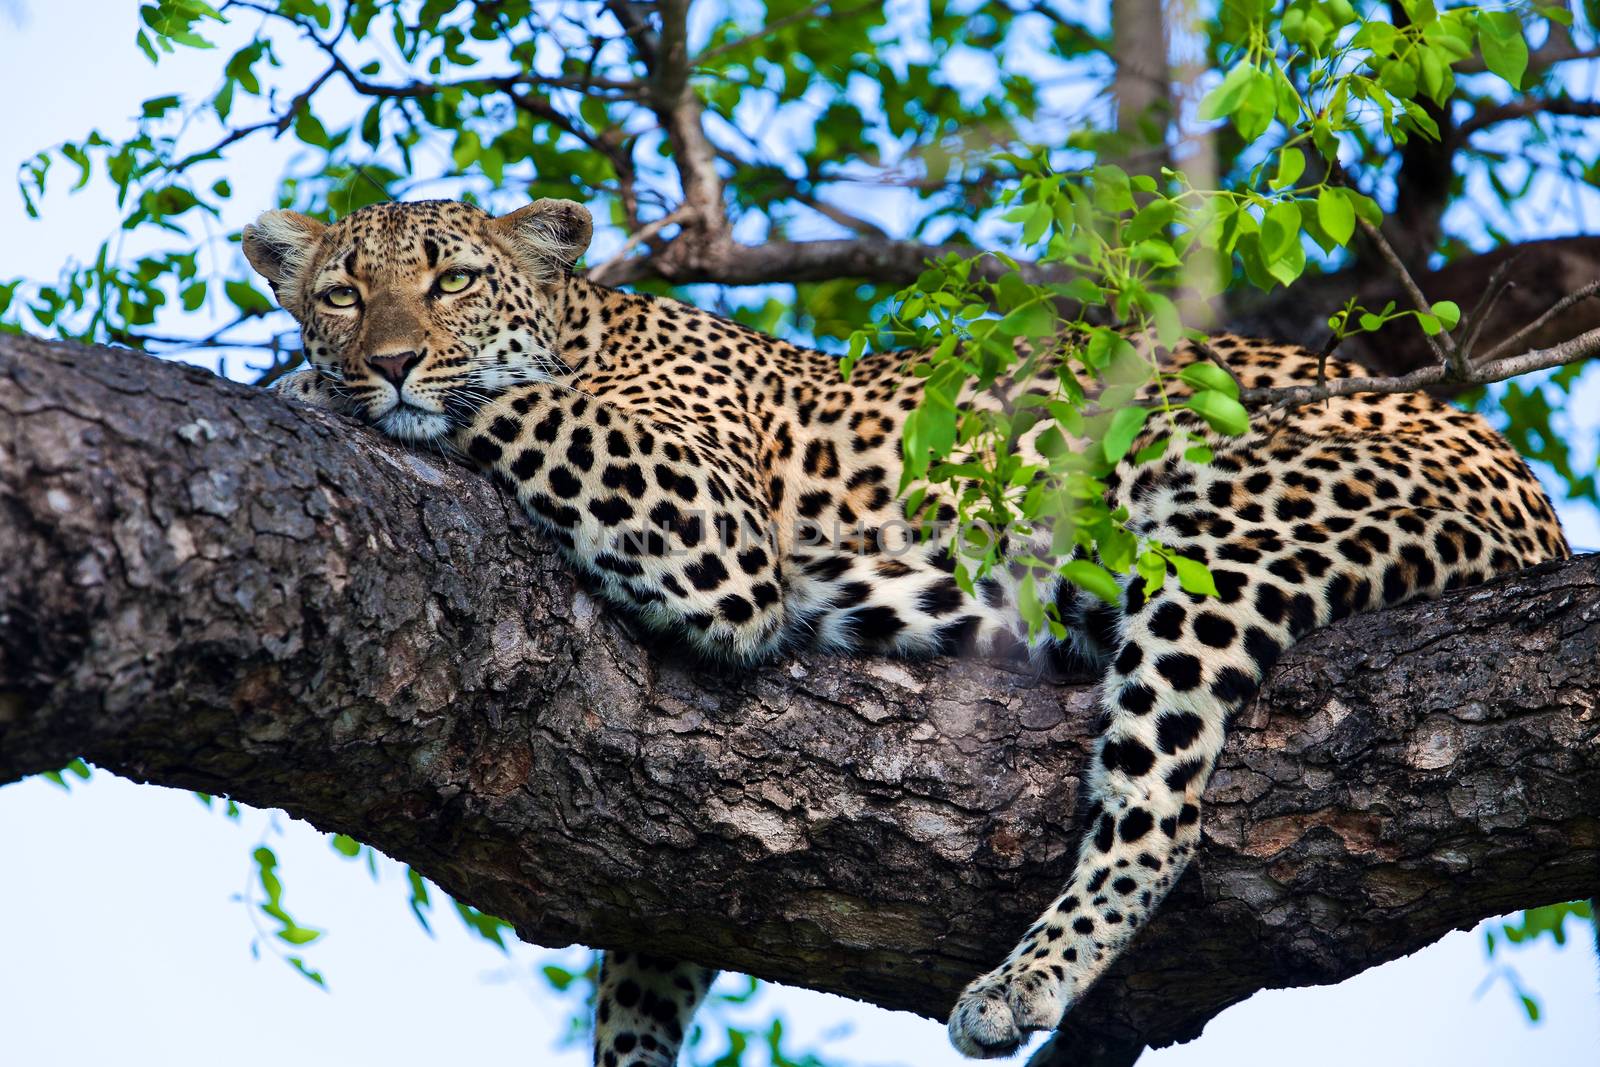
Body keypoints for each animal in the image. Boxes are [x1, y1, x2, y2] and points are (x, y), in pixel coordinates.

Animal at [243, 195, 1568, 1062]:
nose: (389, 358)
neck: (594, 328)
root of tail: (1533, 495)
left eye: (453, 281)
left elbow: (514, 405)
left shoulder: (708, 523)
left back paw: (1022, 982)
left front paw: (306, 388)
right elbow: (642, 968)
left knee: (1162, 809)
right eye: (341, 293)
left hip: (1222, 539)